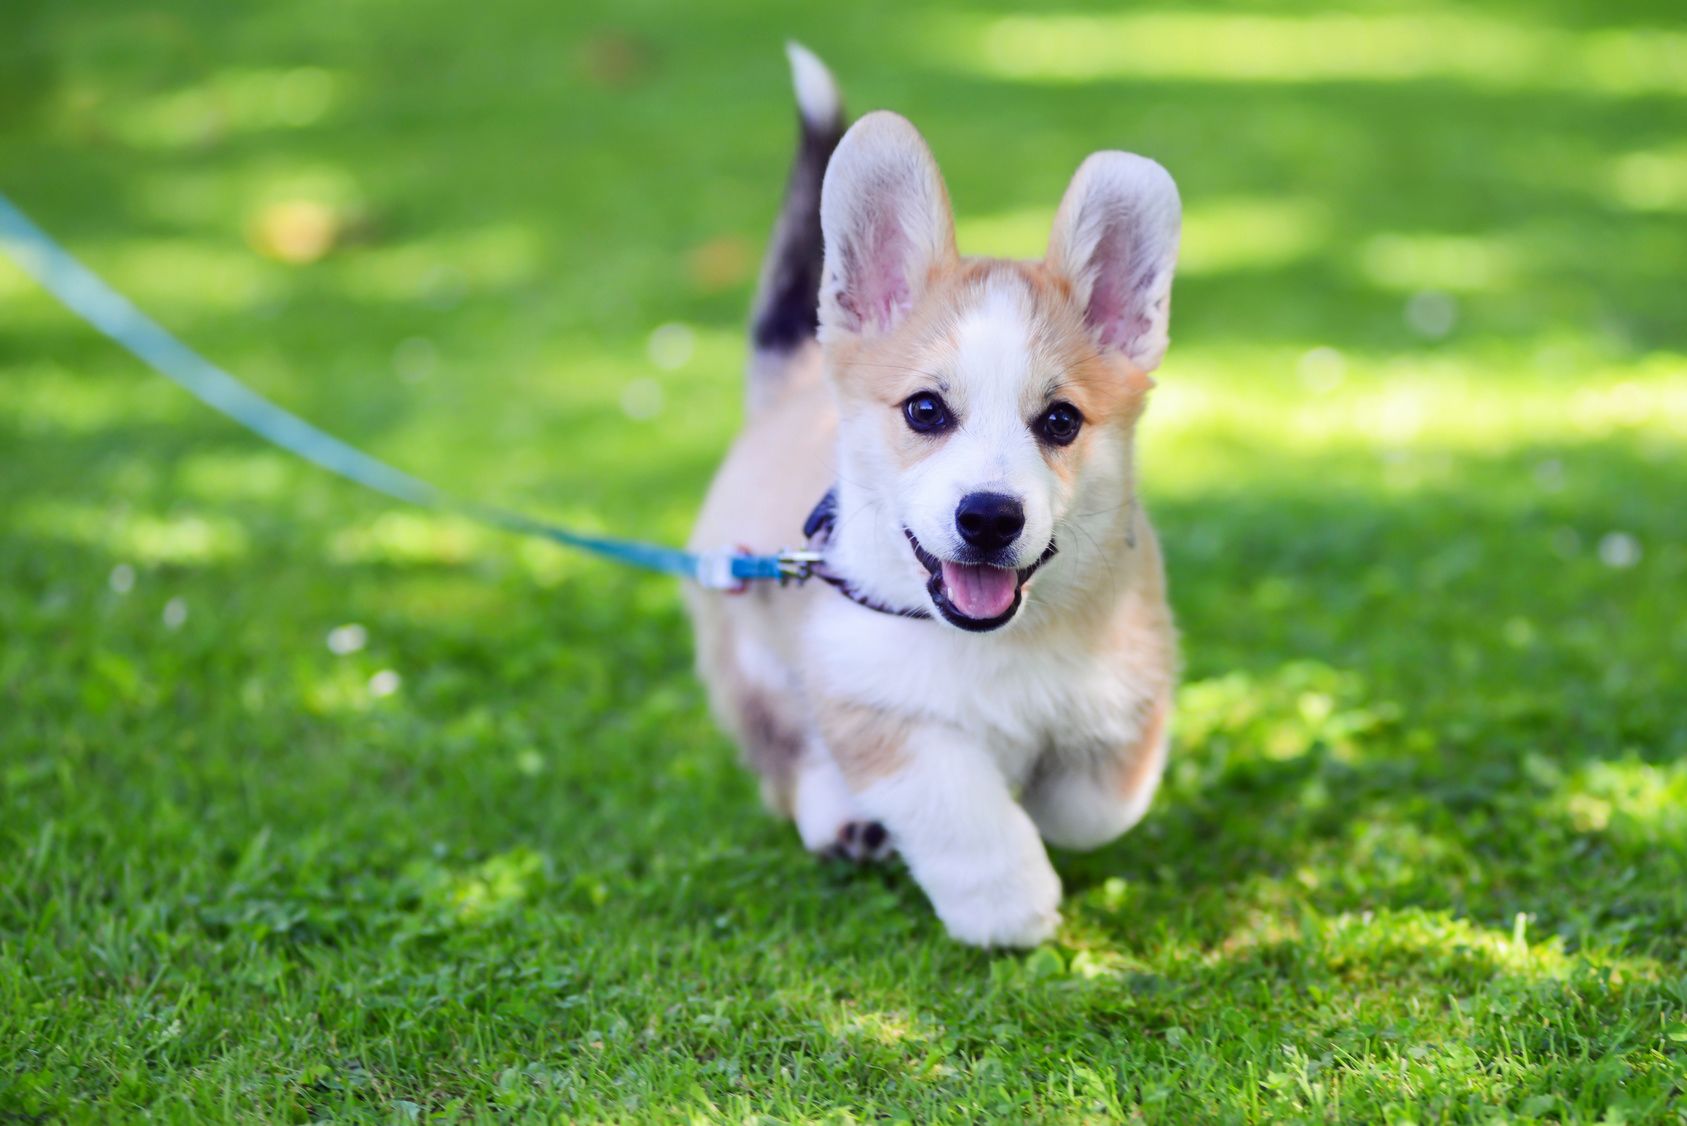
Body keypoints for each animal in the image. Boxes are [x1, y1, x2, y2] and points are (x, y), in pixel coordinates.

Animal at [678, 48, 1180, 952]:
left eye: (1059, 421)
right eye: (924, 411)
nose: (988, 517)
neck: (1000, 641)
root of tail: (788, 386)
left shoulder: (1131, 681)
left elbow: (1096, 806)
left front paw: (1042, 798)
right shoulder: (868, 691)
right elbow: (958, 805)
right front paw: (1008, 901)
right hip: (750, 654)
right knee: (788, 756)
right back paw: (842, 819)